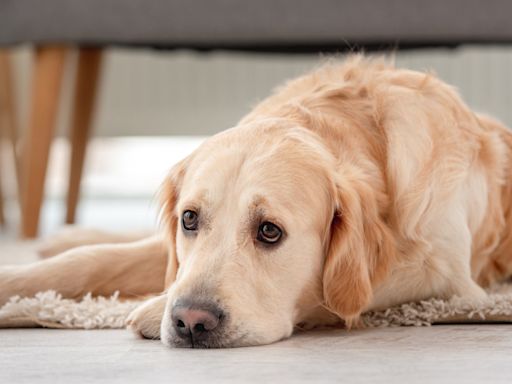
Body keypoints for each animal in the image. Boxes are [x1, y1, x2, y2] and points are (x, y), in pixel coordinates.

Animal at [1, 57, 512, 348]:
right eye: (190, 219)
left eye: (270, 231)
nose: (189, 321)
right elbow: (89, 261)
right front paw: (16, 280)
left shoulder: (450, 278)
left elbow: (340, 292)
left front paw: (150, 308)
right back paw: (65, 234)